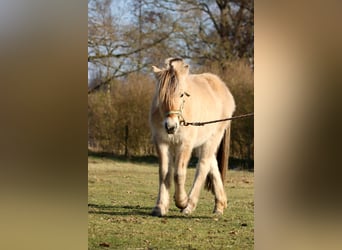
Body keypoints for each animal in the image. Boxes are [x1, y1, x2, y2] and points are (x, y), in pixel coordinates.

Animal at [150, 57, 235, 216]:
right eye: (161, 95)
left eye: (182, 94)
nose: (170, 126)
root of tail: (222, 87)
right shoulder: (161, 142)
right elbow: (164, 173)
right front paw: (160, 207)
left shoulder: (185, 144)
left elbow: (179, 173)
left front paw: (182, 201)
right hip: (203, 141)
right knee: (212, 164)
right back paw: (219, 205)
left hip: (213, 138)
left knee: (203, 166)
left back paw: (189, 205)